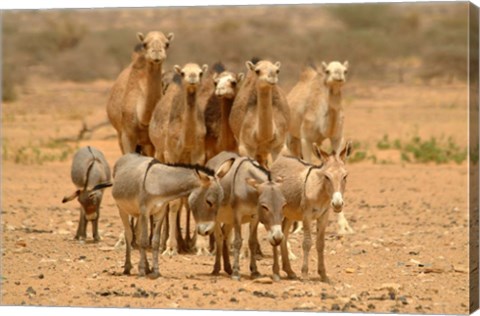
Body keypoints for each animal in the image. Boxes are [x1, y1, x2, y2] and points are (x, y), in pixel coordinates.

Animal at [149, 62, 209, 256]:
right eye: (183, 72)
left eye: (200, 72)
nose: (192, 78)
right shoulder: (171, 155)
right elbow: (174, 202)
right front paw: (170, 247)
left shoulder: (198, 157)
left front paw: (202, 247)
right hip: (159, 153)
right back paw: (162, 243)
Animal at [284, 59, 352, 235]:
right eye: (328, 71)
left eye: (345, 71)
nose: (338, 76)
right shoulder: (306, 138)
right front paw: (300, 227)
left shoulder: (337, 137)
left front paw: (344, 227)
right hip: (291, 139)